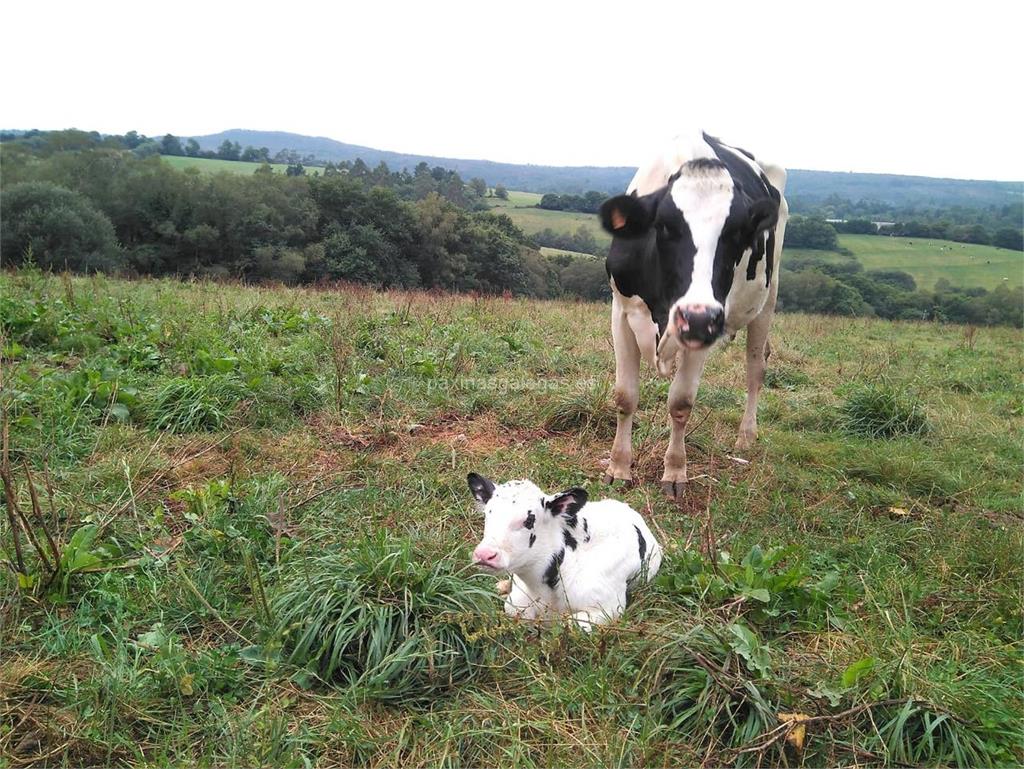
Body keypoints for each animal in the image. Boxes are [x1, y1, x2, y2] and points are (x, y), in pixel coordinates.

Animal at [466, 475, 659, 630]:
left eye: (529, 520)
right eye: (488, 514)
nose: (485, 554)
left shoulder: (608, 608)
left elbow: (570, 624)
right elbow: (514, 609)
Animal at [598, 130, 786, 499]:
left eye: (737, 234)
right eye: (664, 226)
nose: (697, 317)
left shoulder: (707, 326)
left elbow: (681, 402)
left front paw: (675, 472)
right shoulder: (621, 310)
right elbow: (625, 396)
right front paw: (619, 467)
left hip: (767, 299)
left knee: (756, 370)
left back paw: (746, 437)